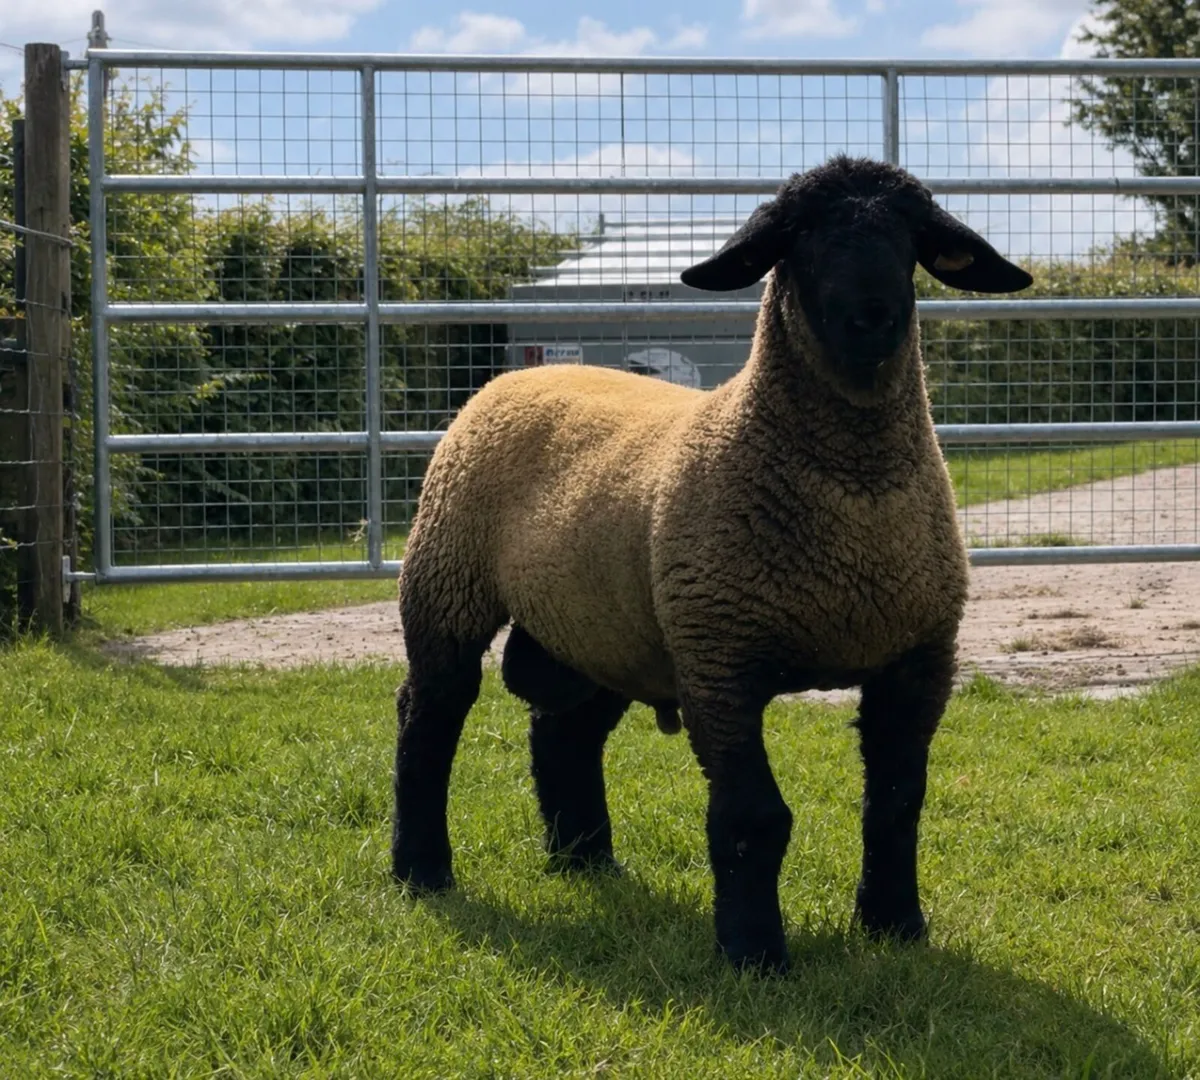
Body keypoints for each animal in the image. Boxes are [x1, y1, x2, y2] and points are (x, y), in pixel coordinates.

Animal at [391, 154, 1033, 973]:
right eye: (799, 235)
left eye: (912, 236)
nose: (872, 316)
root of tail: (520, 375)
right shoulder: (720, 657)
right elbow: (755, 816)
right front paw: (754, 953)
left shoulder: (919, 658)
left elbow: (895, 803)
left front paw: (896, 926)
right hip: (448, 579)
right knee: (431, 713)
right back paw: (421, 869)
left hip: (608, 624)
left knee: (565, 730)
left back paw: (586, 861)